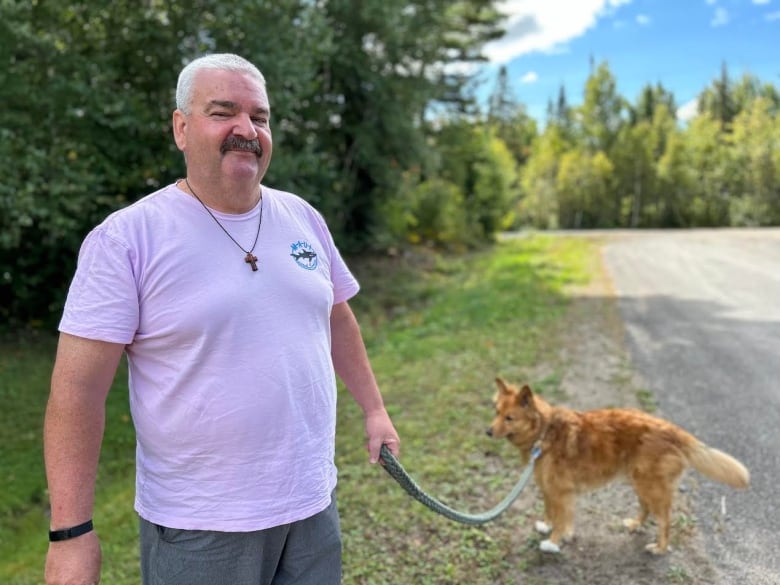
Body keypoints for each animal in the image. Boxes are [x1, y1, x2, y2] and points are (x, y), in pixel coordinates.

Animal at [488, 378, 748, 552]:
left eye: (509, 418)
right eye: (496, 412)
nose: (487, 432)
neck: (544, 431)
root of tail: (673, 431)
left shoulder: (561, 492)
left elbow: (562, 519)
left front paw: (553, 542)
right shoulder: (549, 489)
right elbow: (550, 511)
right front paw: (547, 526)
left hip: (650, 487)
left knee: (665, 520)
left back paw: (660, 548)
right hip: (640, 483)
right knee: (645, 509)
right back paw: (635, 524)